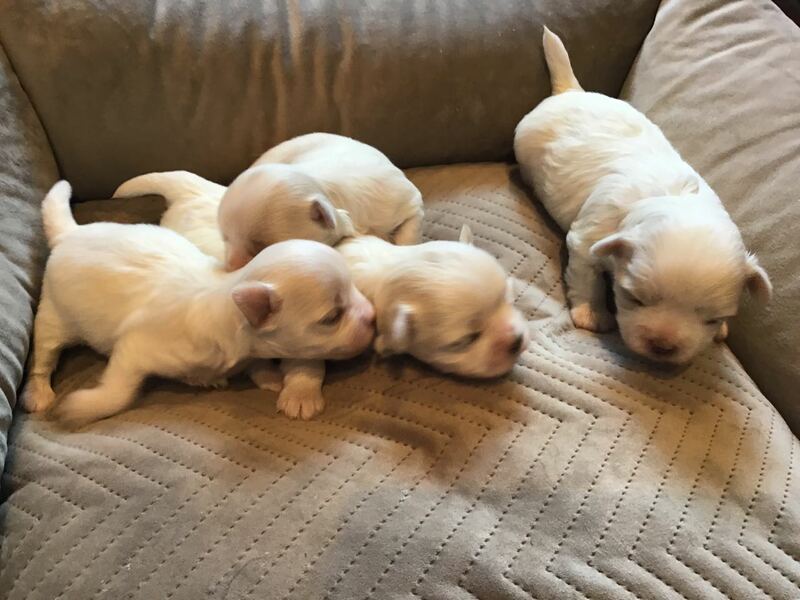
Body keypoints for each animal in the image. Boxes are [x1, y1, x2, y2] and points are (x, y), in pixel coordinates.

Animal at [20, 181, 375, 425]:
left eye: (355, 290)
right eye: (332, 317)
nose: (373, 317)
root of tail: (69, 234)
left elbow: (258, 365)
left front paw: (270, 377)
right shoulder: (135, 349)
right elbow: (120, 391)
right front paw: (82, 406)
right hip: (54, 317)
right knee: (43, 358)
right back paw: (39, 394)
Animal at [513, 27, 771, 365]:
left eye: (712, 318)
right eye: (633, 298)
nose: (662, 346)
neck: (668, 197)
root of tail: (570, 90)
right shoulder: (587, 239)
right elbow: (586, 278)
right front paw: (591, 314)